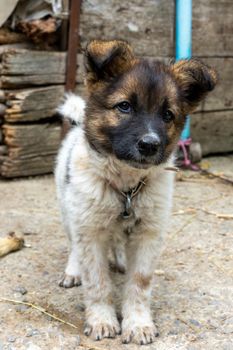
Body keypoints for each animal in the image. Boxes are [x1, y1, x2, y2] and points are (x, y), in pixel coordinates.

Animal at [55, 40, 217, 344]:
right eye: (124, 106)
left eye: (167, 115)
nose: (150, 145)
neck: (126, 188)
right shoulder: (90, 231)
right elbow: (97, 282)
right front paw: (102, 320)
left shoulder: (148, 234)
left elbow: (139, 284)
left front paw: (138, 323)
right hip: (69, 210)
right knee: (73, 245)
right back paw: (73, 270)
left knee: (118, 241)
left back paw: (119, 260)